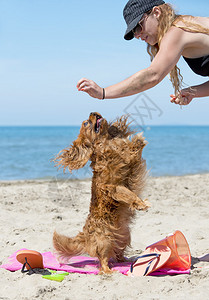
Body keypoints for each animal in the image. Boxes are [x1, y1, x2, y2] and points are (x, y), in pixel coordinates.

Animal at [53, 111, 149, 274]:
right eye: (86, 123)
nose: (93, 112)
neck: (106, 144)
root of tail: (85, 234)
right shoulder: (113, 187)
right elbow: (128, 194)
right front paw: (140, 204)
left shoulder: (129, 167)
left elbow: (131, 152)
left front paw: (137, 142)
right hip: (105, 240)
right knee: (103, 260)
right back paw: (110, 271)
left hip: (124, 237)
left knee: (118, 254)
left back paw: (127, 261)